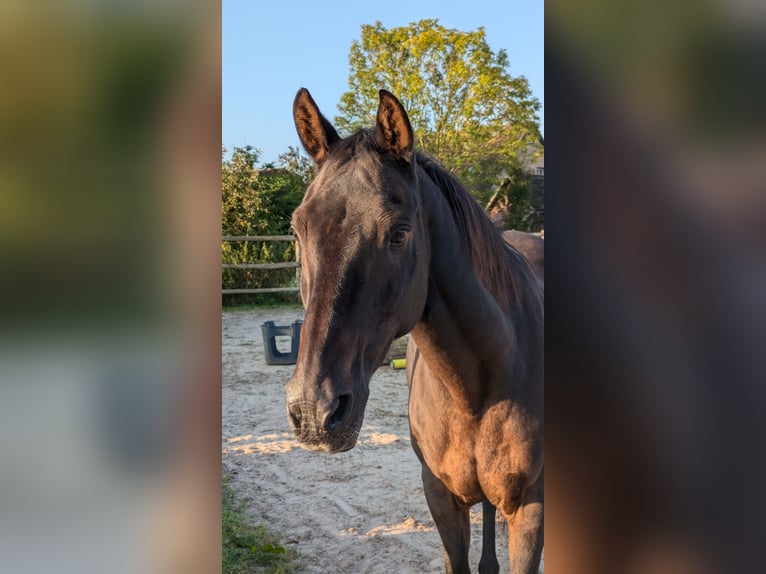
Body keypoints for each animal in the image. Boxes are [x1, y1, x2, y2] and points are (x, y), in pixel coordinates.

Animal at [284, 88, 544, 572]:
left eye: (399, 233)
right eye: (298, 229)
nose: (313, 410)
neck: (477, 390)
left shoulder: (530, 508)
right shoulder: (440, 498)